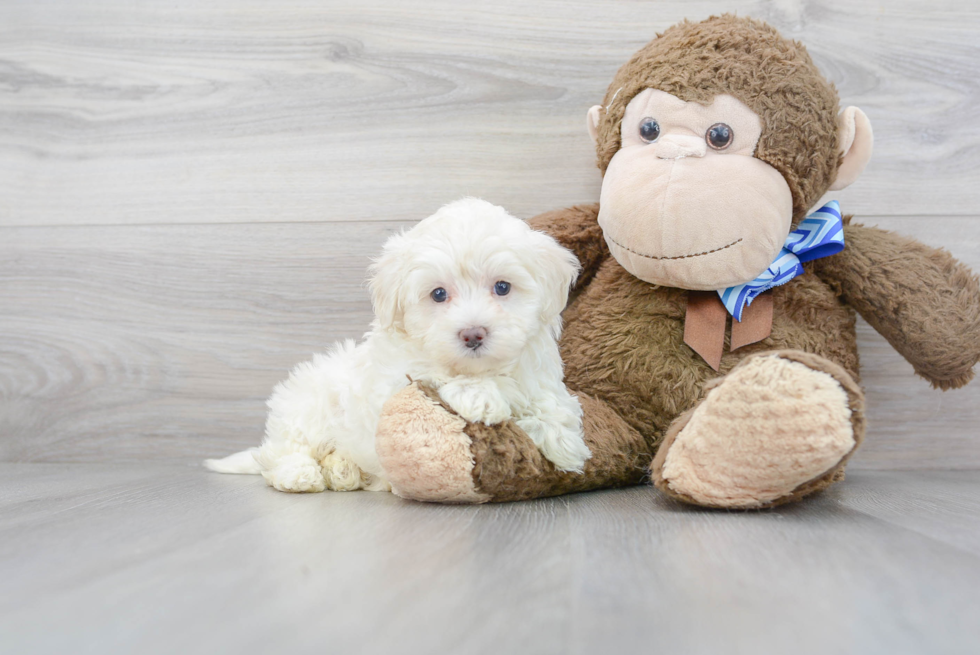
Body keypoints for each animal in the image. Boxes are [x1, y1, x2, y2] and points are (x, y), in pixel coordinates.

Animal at [205, 199, 588, 492]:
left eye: (503, 287)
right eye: (438, 294)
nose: (473, 334)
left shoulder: (537, 373)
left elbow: (549, 399)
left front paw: (564, 440)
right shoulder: (396, 381)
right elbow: (439, 375)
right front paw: (483, 396)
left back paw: (343, 470)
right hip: (307, 410)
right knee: (282, 454)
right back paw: (300, 475)